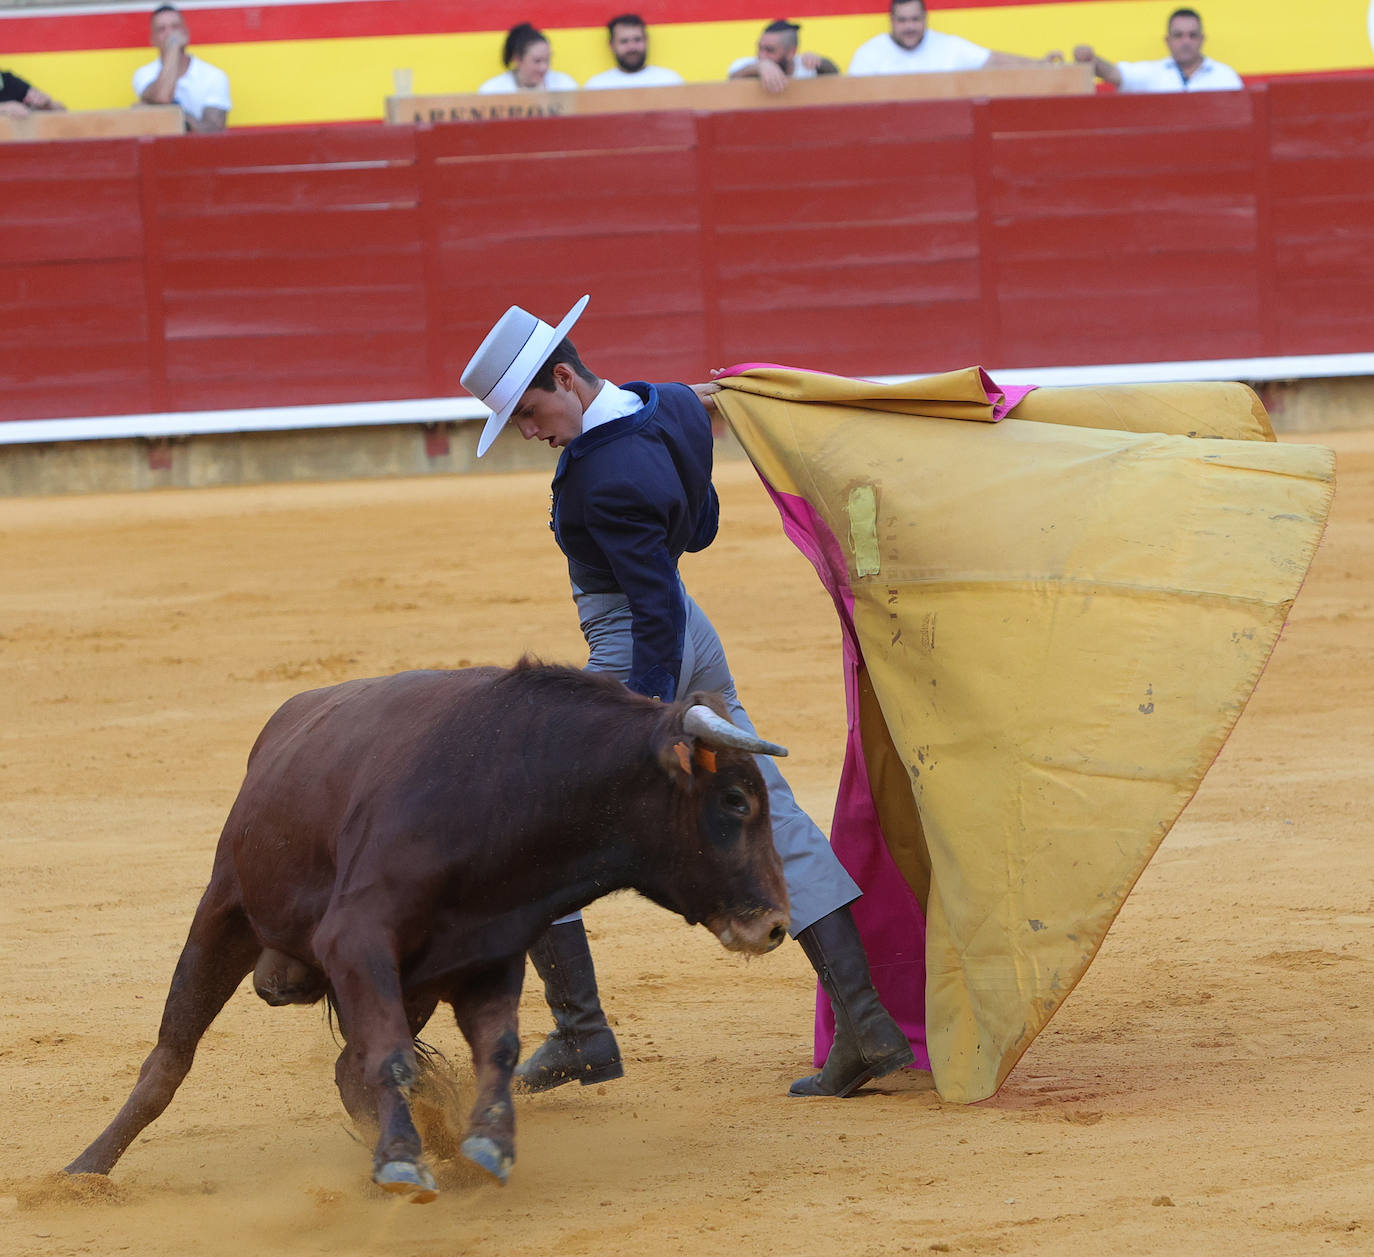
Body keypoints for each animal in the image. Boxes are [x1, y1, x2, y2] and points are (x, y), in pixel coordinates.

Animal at [64, 659, 791, 1197]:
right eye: (735, 799)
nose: (777, 924)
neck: (508, 789)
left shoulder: (487, 954)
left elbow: (494, 1046)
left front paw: (481, 1146)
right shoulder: (356, 937)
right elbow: (390, 1056)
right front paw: (405, 1158)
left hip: (408, 982)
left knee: (348, 1068)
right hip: (226, 909)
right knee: (170, 1057)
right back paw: (83, 1170)